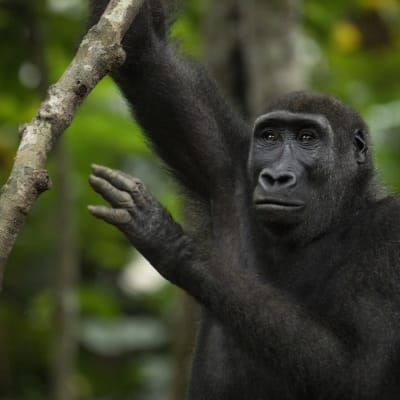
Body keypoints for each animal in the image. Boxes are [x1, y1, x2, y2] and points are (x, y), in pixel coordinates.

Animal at [86, 1, 400, 398]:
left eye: (307, 138)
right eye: (269, 137)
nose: (276, 176)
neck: (340, 212)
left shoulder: (391, 235)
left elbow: (355, 372)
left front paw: (176, 244)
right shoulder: (232, 170)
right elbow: (144, 51)